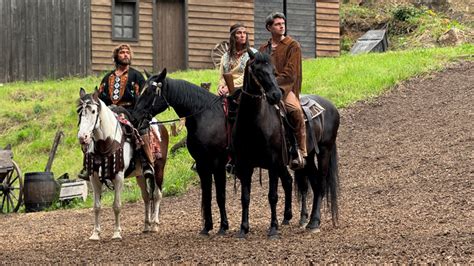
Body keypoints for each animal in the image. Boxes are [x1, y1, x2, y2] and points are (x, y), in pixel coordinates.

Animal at [76, 88, 168, 241]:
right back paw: (146, 225)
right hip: (140, 175)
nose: (82, 137)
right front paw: (95, 233)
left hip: (159, 168)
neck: (106, 143)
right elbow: (96, 206)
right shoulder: (94, 178)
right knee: (146, 196)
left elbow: (117, 206)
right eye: (79, 112)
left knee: (157, 195)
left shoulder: (118, 177)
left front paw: (117, 233)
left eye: (93, 111)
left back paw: (155, 224)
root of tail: (160, 125)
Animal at [133, 68, 230, 235]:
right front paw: (207, 227)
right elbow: (207, 195)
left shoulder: (218, 164)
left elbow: (220, 195)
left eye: (151, 91)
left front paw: (223, 226)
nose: (136, 116)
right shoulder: (202, 164)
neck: (206, 116)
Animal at [234, 51, 338, 238]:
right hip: (308, 158)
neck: (254, 123)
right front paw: (243, 228)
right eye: (257, 70)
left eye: (273, 70)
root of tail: (331, 107)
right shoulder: (246, 165)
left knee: (321, 184)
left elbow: (273, 196)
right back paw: (308, 221)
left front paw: (273, 228)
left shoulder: (273, 164)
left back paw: (314, 222)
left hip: (324, 151)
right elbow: (245, 197)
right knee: (314, 184)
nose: (276, 95)